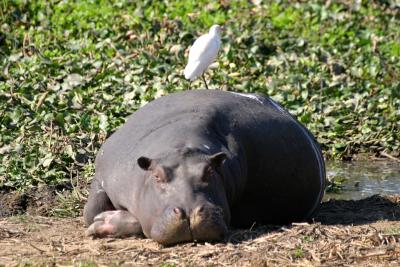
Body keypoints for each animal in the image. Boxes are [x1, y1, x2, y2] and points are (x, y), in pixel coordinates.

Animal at [84, 89, 324, 245]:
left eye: (209, 171)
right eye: (158, 176)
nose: (190, 212)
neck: (179, 145)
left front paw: (104, 222)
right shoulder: (105, 174)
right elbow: (90, 212)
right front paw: (99, 221)